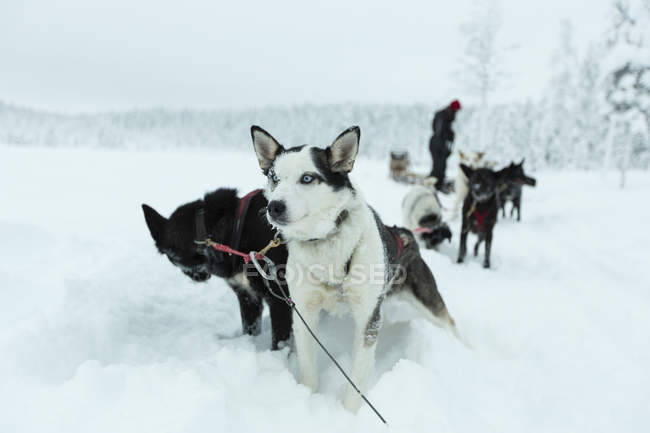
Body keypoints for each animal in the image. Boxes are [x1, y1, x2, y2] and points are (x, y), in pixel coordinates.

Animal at [144, 187, 294, 350]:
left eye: (174, 259)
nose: (196, 278)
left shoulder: (280, 299)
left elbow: (279, 341)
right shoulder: (247, 296)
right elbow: (250, 329)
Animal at [251, 125, 458, 412]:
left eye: (307, 178)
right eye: (274, 178)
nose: (274, 207)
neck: (326, 245)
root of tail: (406, 234)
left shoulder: (368, 319)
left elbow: (357, 378)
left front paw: (349, 413)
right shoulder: (304, 313)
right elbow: (307, 366)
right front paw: (306, 399)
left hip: (429, 302)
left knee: (451, 324)